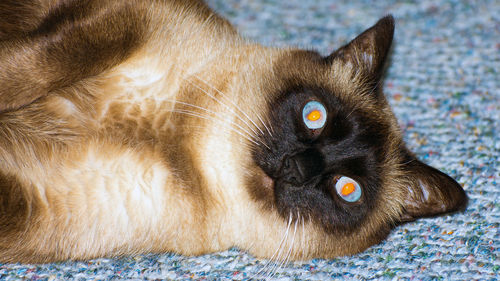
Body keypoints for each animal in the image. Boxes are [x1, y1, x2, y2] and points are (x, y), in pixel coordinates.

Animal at [0, 0, 468, 262]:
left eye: (346, 189)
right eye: (314, 115)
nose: (296, 167)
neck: (193, 149)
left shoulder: (30, 204)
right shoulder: (123, 20)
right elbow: (33, 66)